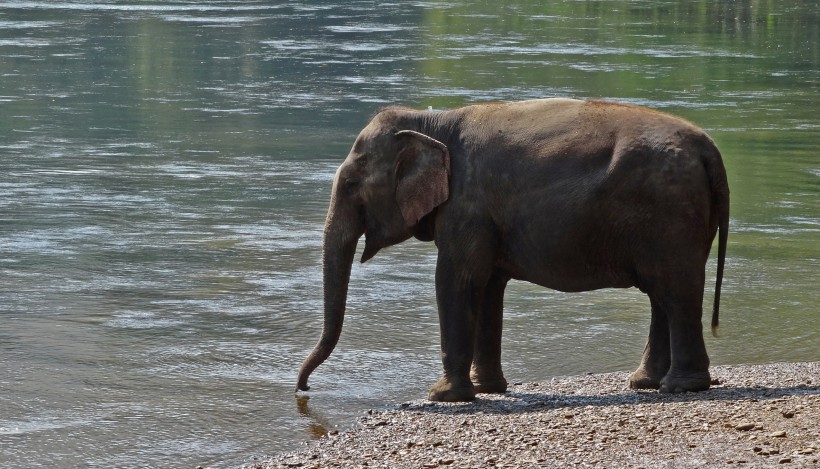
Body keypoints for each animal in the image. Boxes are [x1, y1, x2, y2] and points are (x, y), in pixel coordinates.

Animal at [296, 98, 732, 402]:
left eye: (350, 184)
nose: (302, 390)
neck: (432, 121)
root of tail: (709, 149)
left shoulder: (467, 206)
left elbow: (455, 279)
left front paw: (444, 396)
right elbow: (488, 287)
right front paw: (487, 389)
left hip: (671, 213)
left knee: (675, 289)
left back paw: (681, 388)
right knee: (663, 292)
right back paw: (646, 383)